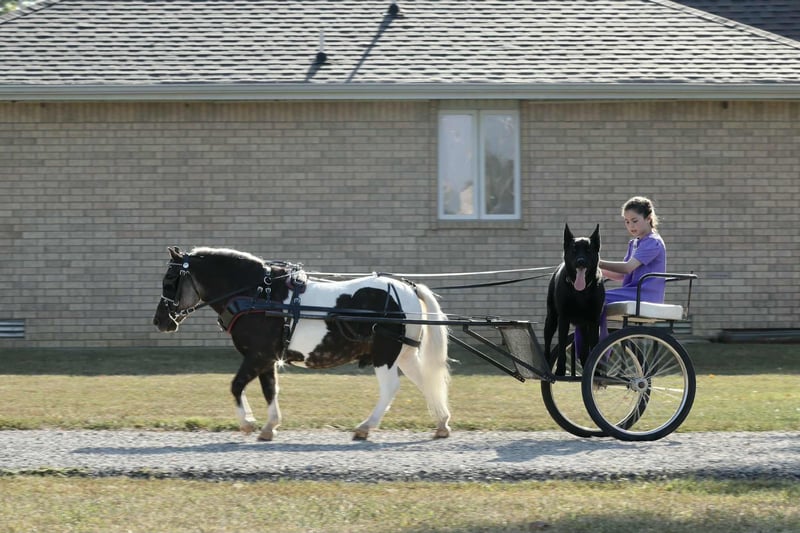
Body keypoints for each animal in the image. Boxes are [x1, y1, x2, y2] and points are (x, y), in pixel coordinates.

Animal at [152, 246, 451, 441]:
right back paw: (442, 423)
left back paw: (365, 426)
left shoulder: (258, 355)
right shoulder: (268, 358)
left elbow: (236, 385)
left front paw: (247, 423)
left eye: (169, 280)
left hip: (385, 355)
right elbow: (270, 390)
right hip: (404, 354)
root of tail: (409, 288)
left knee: (391, 388)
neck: (257, 294)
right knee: (425, 381)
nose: (160, 321)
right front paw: (269, 426)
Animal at [544, 224, 605, 376]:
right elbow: (561, 346)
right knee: (547, 341)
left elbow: (594, 346)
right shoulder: (563, 318)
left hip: (583, 326)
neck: (580, 293)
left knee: (584, 350)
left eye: (588, 250)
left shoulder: (594, 321)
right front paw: (560, 369)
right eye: (574, 250)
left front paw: (594, 371)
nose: (580, 261)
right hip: (551, 318)